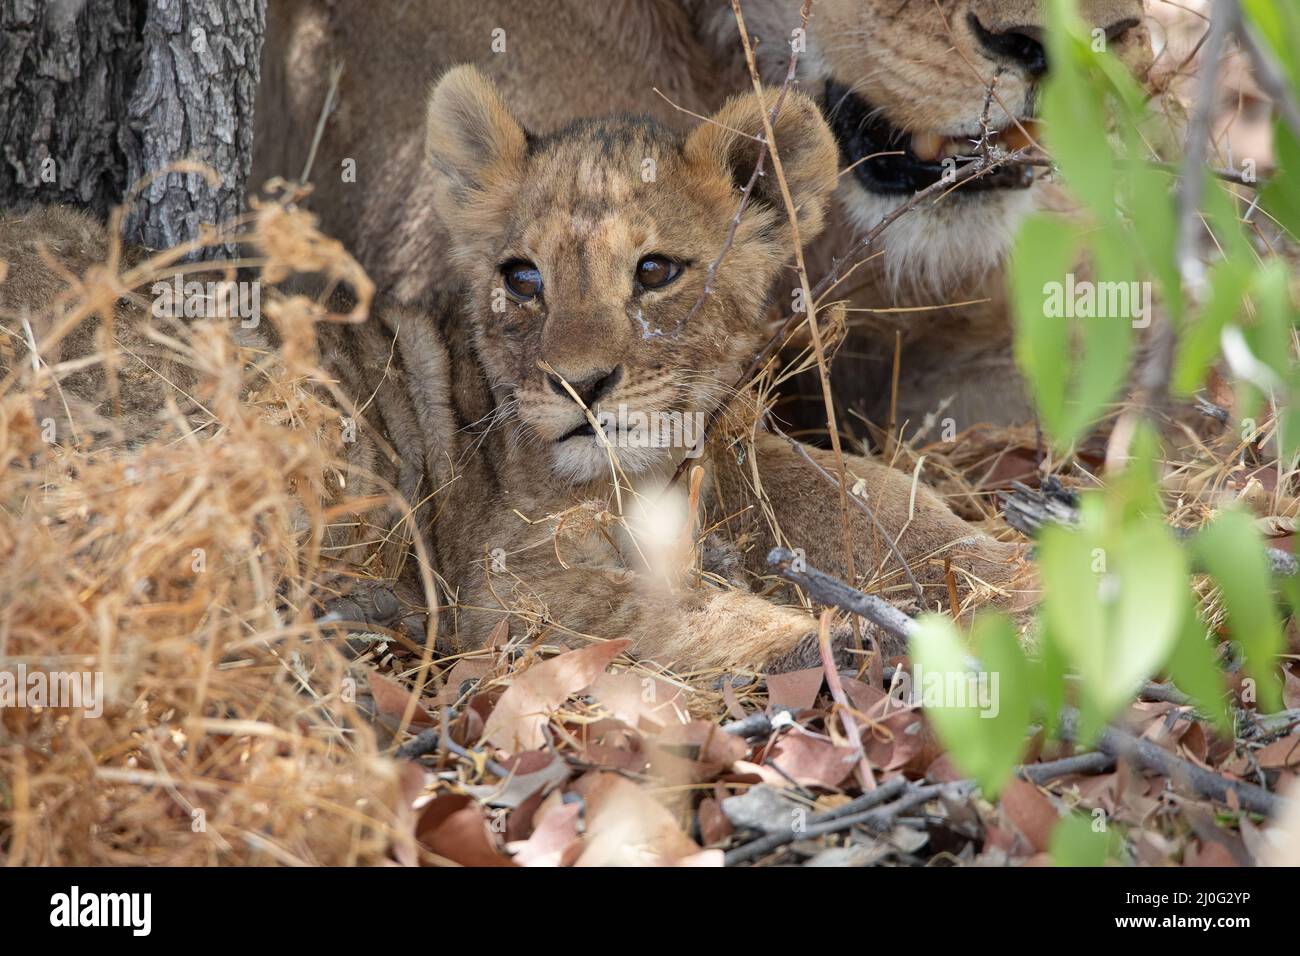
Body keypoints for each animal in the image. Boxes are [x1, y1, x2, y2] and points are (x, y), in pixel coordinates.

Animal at [2, 71, 1028, 674]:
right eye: (522, 278)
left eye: (657, 271)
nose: (581, 388)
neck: (644, 468)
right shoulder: (511, 583)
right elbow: (655, 607)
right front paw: (827, 640)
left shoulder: (741, 461)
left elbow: (880, 501)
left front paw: (1018, 587)